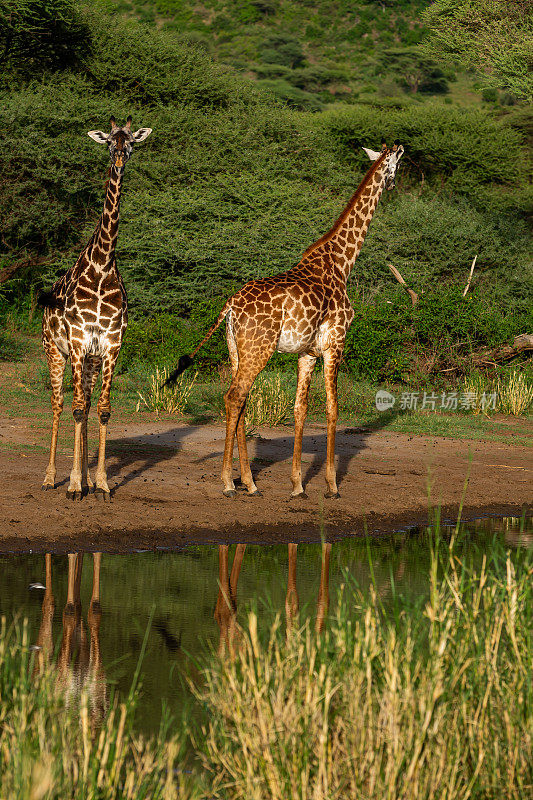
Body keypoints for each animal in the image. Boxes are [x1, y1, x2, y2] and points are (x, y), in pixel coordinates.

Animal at [39, 117, 151, 500]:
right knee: (60, 405)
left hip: (89, 359)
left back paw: (87, 480)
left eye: (130, 141)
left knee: (85, 406)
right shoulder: (75, 342)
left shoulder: (111, 344)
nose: (119, 158)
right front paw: (73, 485)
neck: (102, 266)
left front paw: (100, 483)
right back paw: (51, 478)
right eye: (108, 142)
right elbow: (73, 409)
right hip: (55, 352)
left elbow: (101, 410)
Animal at [167, 141, 404, 496]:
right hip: (259, 349)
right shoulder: (336, 344)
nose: (392, 186)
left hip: (236, 350)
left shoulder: (307, 352)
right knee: (234, 397)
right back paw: (228, 482)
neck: (342, 263)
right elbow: (333, 409)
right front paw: (331, 485)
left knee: (241, 400)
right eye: (397, 165)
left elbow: (299, 409)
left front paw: (297, 485)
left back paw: (250, 482)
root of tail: (230, 305)